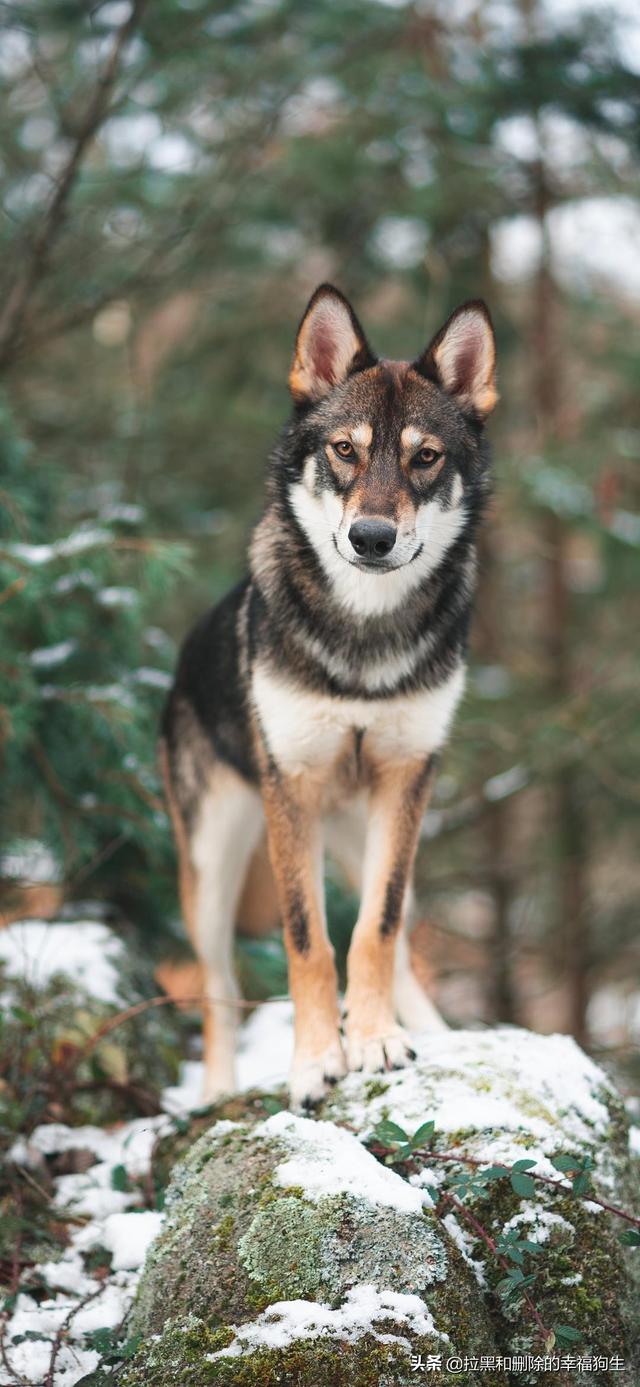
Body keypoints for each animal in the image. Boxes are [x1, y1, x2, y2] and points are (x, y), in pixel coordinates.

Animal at [158, 287, 494, 1109]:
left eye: (425, 457)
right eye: (345, 450)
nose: (372, 537)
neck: (363, 641)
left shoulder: (408, 780)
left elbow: (374, 929)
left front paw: (374, 1042)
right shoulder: (294, 790)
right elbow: (307, 939)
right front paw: (315, 1062)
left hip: (372, 832)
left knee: (398, 940)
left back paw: (432, 1034)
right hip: (213, 867)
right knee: (216, 988)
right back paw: (215, 1092)